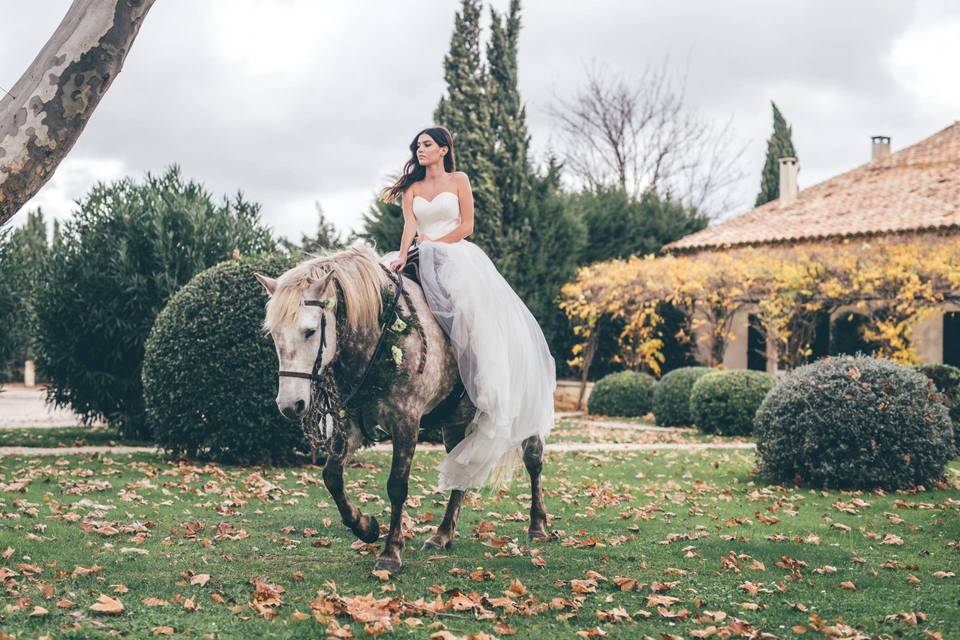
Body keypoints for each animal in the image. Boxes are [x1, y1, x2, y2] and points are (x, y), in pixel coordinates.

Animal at [255, 244, 552, 568]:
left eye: (309, 331)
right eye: (273, 334)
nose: (289, 404)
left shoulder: (406, 421)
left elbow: (397, 486)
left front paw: (391, 552)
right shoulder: (350, 423)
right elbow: (332, 476)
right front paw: (364, 526)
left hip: (524, 414)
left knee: (533, 460)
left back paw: (537, 525)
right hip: (455, 423)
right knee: (460, 468)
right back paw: (443, 535)